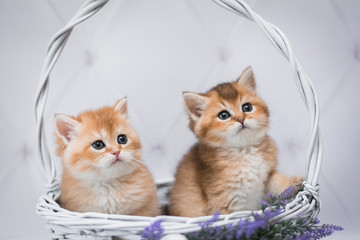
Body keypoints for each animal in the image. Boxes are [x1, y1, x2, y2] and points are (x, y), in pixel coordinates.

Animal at [170, 66, 306, 217]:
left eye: (247, 107)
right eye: (223, 115)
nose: (241, 119)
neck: (244, 151)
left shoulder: (267, 175)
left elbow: (277, 180)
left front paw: (292, 183)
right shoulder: (226, 202)